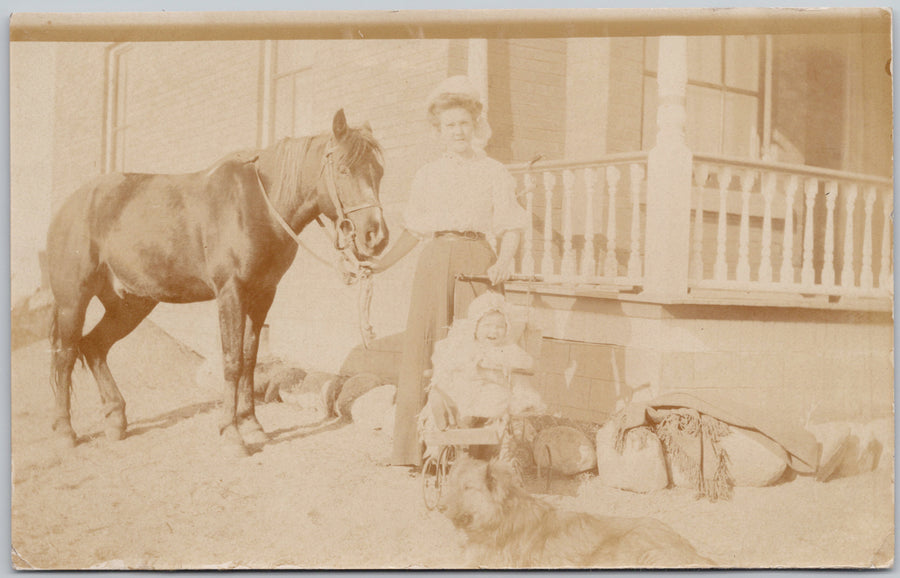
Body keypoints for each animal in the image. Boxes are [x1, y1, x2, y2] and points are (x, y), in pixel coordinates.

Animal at [46, 109, 386, 454]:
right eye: (343, 169)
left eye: (379, 172)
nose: (376, 235)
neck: (258, 206)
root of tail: (72, 204)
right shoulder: (231, 293)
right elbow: (232, 361)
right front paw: (231, 434)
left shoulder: (263, 295)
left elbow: (249, 360)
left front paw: (253, 426)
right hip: (73, 300)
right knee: (66, 354)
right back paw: (65, 432)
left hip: (131, 303)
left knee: (94, 347)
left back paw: (116, 420)